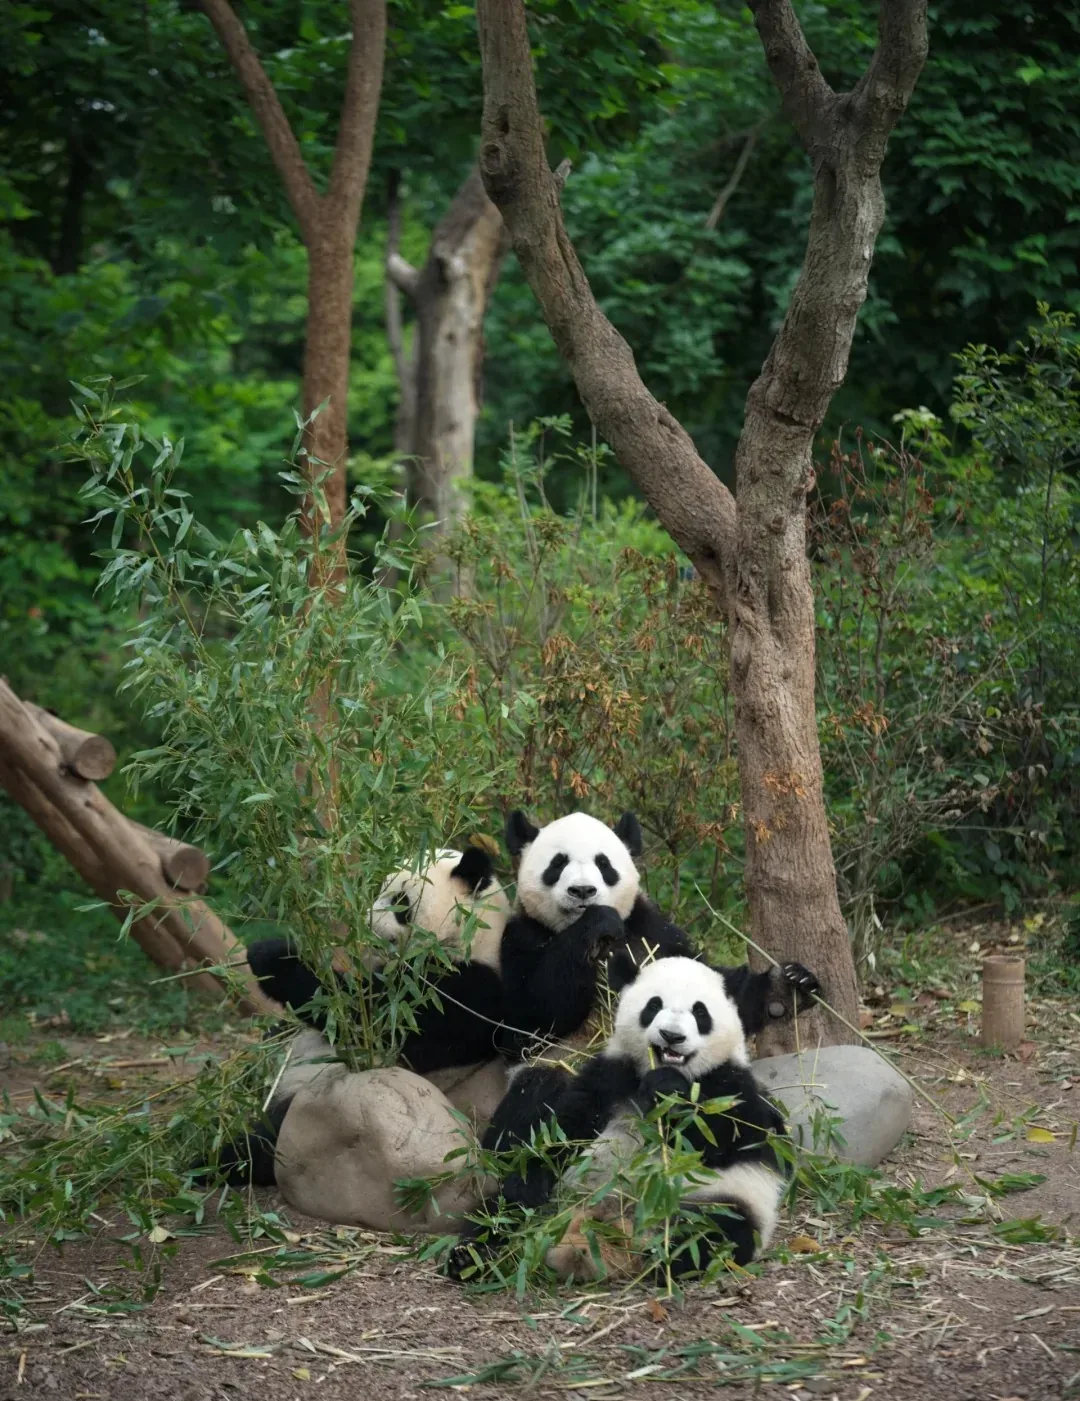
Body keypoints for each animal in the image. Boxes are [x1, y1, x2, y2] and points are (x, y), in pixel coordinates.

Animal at [212, 845, 510, 1185]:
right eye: (378, 890)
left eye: (400, 901)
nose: (365, 923)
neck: (471, 935)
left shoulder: (463, 992)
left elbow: (363, 1016)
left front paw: (273, 957)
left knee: (268, 1142)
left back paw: (218, 1161)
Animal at [449, 956, 790, 1282]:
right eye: (654, 1005)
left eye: (699, 1012)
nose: (672, 1036)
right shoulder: (609, 1077)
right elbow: (563, 1131)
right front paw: (533, 1176)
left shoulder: (731, 1087)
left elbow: (724, 1140)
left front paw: (669, 1091)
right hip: (553, 1202)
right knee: (501, 1213)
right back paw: (471, 1257)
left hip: (716, 1200)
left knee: (717, 1234)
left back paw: (665, 1259)